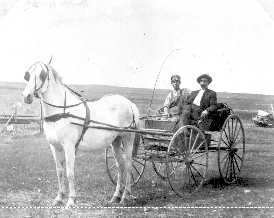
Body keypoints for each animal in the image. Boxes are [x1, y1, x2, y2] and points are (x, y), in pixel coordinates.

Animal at [22, 61, 139, 208]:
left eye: (42, 74)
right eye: (28, 75)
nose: (26, 96)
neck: (61, 111)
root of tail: (129, 103)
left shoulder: (69, 147)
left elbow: (69, 172)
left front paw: (71, 200)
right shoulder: (54, 147)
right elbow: (59, 172)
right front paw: (59, 198)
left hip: (127, 138)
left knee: (128, 164)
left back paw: (125, 196)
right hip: (115, 141)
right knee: (120, 165)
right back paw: (116, 196)